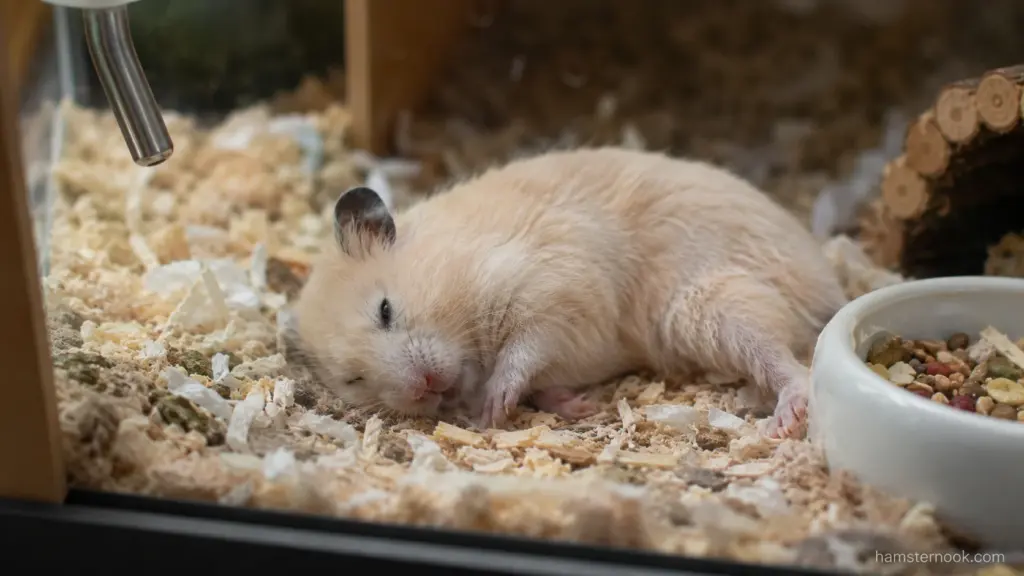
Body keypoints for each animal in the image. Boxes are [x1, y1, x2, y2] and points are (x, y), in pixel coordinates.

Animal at [292, 147, 847, 438]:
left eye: (385, 310)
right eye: (354, 380)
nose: (426, 387)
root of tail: (829, 283)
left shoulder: (556, 288)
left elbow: (526, 351)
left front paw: (493, 408)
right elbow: (543, 377)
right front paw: (575, 405)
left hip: (716, 307)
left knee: (791, 363)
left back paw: (785, 418)